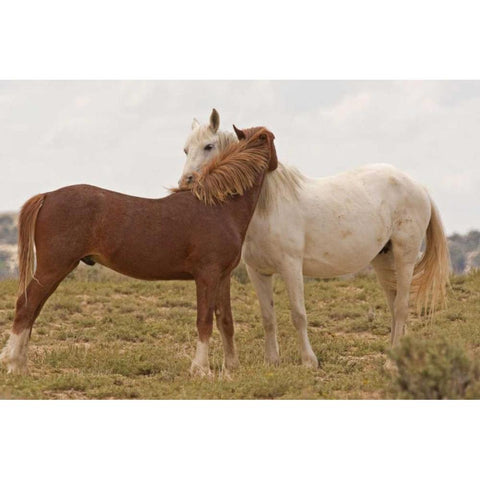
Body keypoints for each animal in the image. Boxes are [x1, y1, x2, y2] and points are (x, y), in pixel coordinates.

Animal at [0, 125, 278, 376]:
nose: (276, 165)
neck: (219, 207)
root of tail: (47, 196)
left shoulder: (223, 276)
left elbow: (225, 321)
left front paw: (231, 369)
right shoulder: (207, 276)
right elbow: (205, 321)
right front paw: (201, 370)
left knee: (33, 309)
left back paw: (21, 365)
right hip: (53, 267)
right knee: (25, 306)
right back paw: (14, 365)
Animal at [179, 109, 450, 368]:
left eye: (209, 146)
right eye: (186, 149)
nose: (185, 182)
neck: (267, 207)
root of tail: (420, 187)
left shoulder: (291, 267)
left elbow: (299, 315)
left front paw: (309, 361)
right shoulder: (258, 272)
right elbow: (268, 317)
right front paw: (272, 361)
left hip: (405, 257)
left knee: (402, 307)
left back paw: (391, 364)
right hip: (384, 260)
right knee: (394, 308)